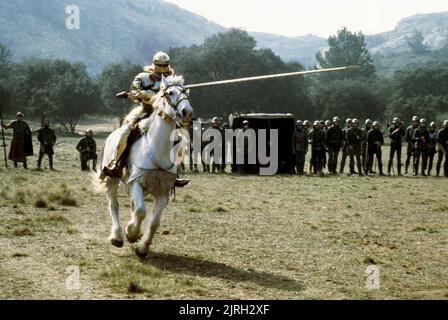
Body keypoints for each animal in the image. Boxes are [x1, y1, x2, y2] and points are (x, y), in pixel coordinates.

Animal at [98, 75, 192, 258]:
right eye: (170, 92)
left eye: (185, 91)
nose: (187, 112)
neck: (157, 148)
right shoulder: (136, 181)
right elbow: (141, 211)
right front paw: (131, 232)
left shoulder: (163, 190)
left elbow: (154, 222)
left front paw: (142, 247)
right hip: (112, 179)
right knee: (114, 205)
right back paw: (118, 236)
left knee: (133, 206)